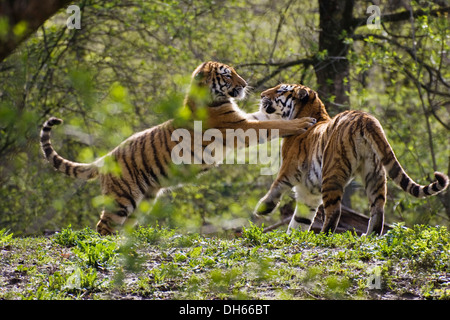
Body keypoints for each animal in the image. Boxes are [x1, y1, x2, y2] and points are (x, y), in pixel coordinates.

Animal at [41, 62, 316, 235]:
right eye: (228, 75)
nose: (246, 83)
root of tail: (106, 156)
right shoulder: (240, 127)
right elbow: (272, 124)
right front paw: (302, 122)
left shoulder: (244, 120)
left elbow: (266, 118)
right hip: (122, 198)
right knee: (104, 225)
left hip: (143, 200)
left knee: (123, 225)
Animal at [255, 84, 448, 235]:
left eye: (280, 90)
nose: (262, 95)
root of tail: (365, 117)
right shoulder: (307, 192)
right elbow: (300, 221)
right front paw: (293, 237)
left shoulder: (289, 168)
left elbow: (276, 187)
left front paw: (262, 208)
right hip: (374, 173)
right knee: (378, 210)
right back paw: (369, 236)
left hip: (331, 172)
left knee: (335, 211)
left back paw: (324, 236)